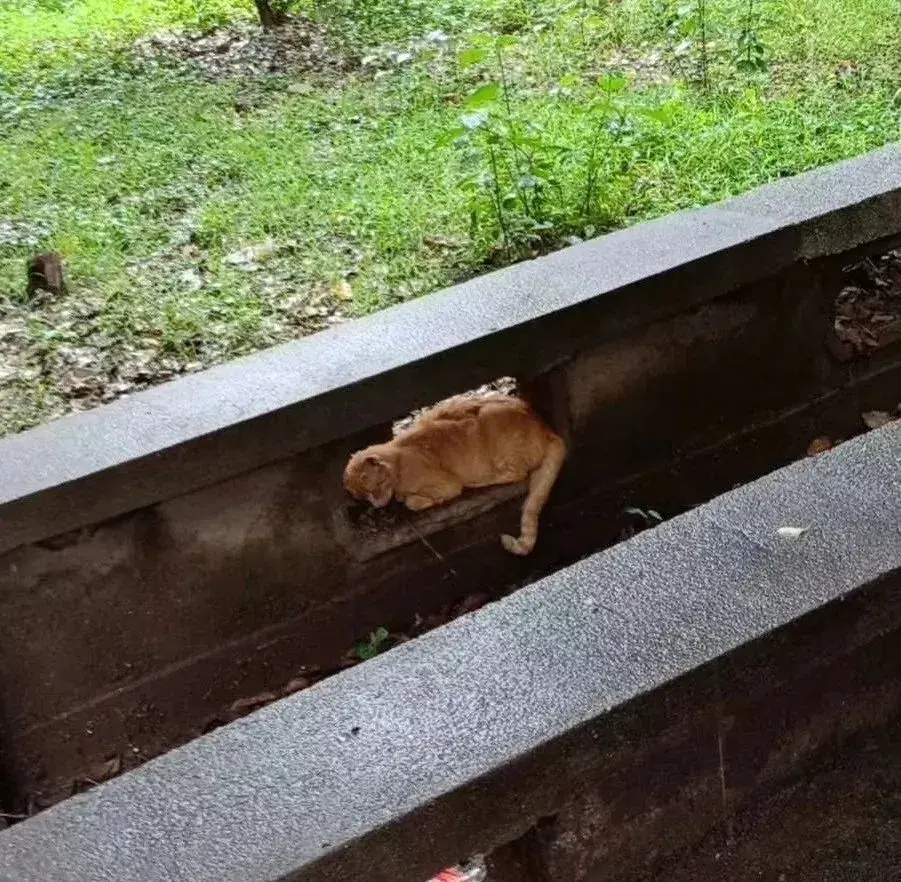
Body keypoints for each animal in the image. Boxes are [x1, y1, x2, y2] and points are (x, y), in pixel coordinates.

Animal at [342, 394, 564, 552]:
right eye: (364, 497)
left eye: (376, 487)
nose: (377, 504)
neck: (397, 459)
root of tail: (547, 430)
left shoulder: (447, 485)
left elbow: (414, 502)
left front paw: (412, 499)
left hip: (494, 427)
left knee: (516, 473)